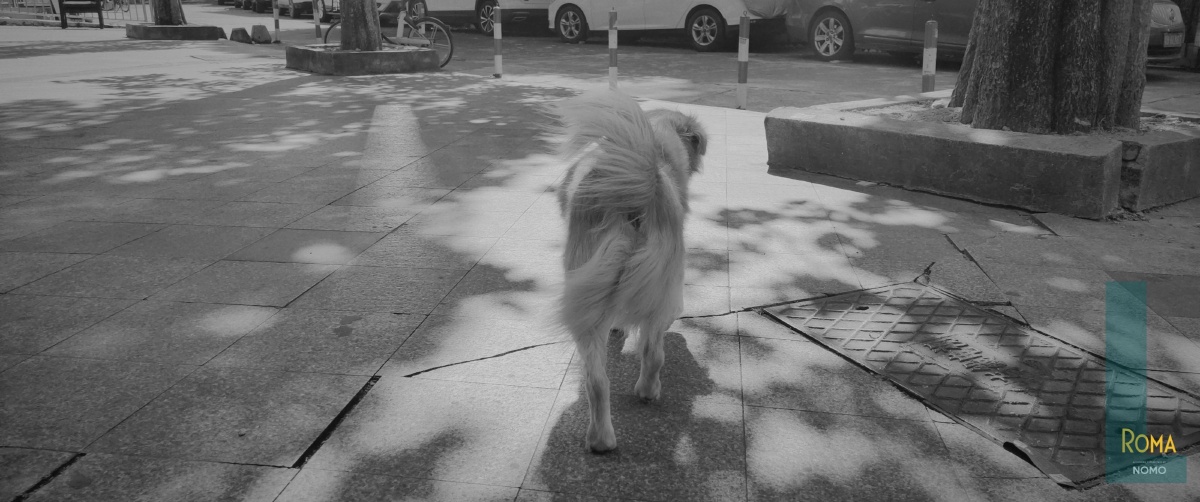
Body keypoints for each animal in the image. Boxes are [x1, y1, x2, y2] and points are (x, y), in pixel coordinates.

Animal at [553, 91, 707, 453]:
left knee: (597, 380)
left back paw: (600, 440)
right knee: (653, 352)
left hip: (586, 293)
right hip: (666, 287)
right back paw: (648, 391)